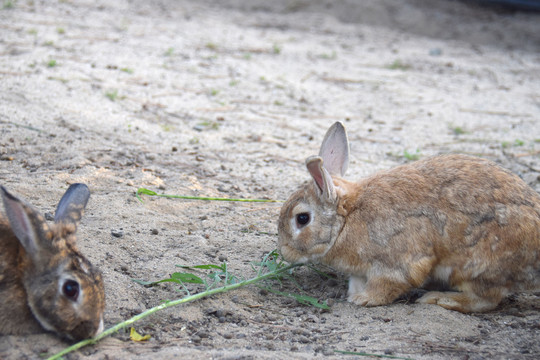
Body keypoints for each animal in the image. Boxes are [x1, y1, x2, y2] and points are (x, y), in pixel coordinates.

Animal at [278, 121, 540, 312]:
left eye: (302, 219)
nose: (284, 252)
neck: (347, 219)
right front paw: (354, 294)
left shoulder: (396, 263)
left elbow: (390, 283)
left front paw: (363, 299)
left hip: (475, 265)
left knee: (486, 299)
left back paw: (439, 299)